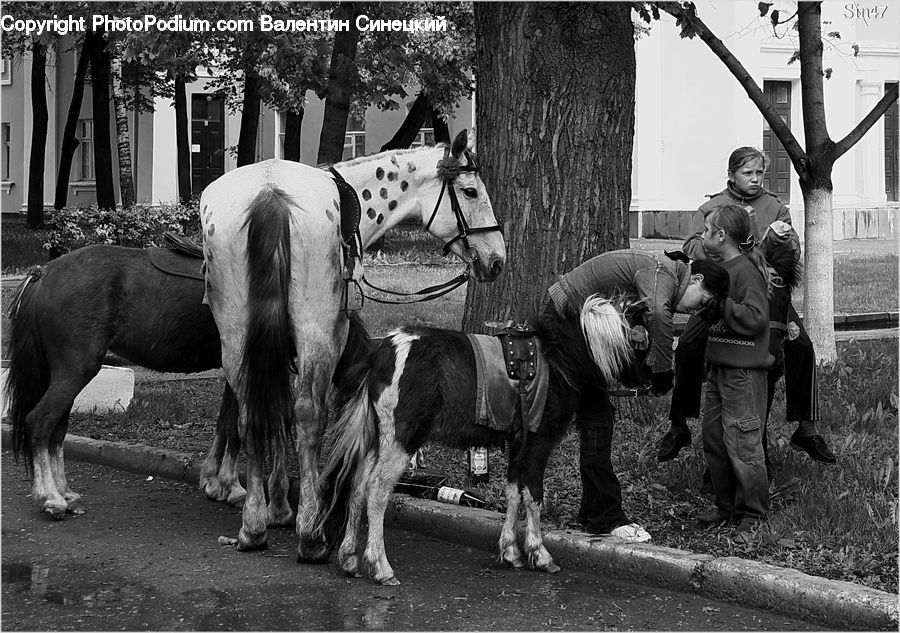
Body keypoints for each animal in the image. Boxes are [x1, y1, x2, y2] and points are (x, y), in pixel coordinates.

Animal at [202, 131, 506, 552]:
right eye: (471, 191)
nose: (497, 259)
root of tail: (270, 192)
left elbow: (275, 409)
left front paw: (275, 504)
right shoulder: (333, 332)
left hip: (234, 333)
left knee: (251, 413)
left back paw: (253, 526)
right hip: (315, 332)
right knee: (309, 416)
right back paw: (310, 528)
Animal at [300, 294, 648, 584]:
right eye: (640, 343)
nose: (648, 383)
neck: (557, 358)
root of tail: (382, 353)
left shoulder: (517, 443)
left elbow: (513, 492)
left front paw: (510, 552)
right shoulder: (539, 441)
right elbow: (534, 496)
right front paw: (539, 554)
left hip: (377, 439)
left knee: (356, 488)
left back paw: (349, 559)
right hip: (400, 439)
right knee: (375, 492)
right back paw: (381, 566)